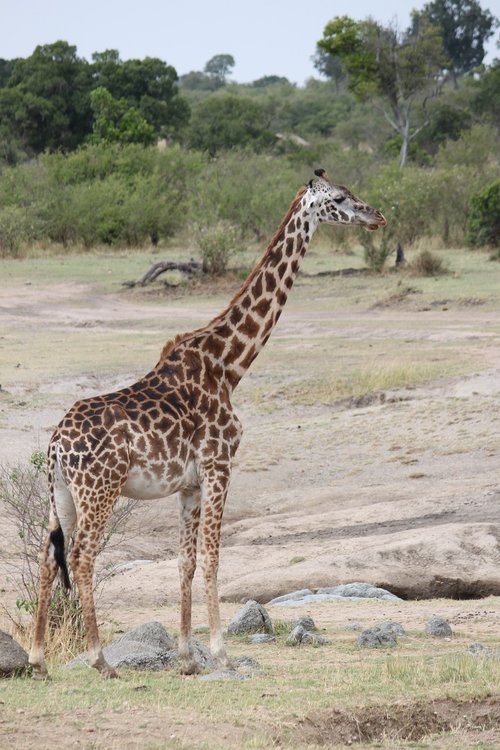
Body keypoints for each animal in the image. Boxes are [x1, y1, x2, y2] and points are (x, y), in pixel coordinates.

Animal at [28, 169, 386, 680]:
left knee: (45, 555)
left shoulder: (190, 484)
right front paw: (220, 652)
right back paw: (101, 659)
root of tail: (56, 443)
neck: (230, 365)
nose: (377, 216)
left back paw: (38, 660)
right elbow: (214, 557)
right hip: (100, 489)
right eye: (339, 198)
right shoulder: (220, 466)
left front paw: (186, 657)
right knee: (80, 556)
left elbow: (185, 561)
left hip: (59, 493)